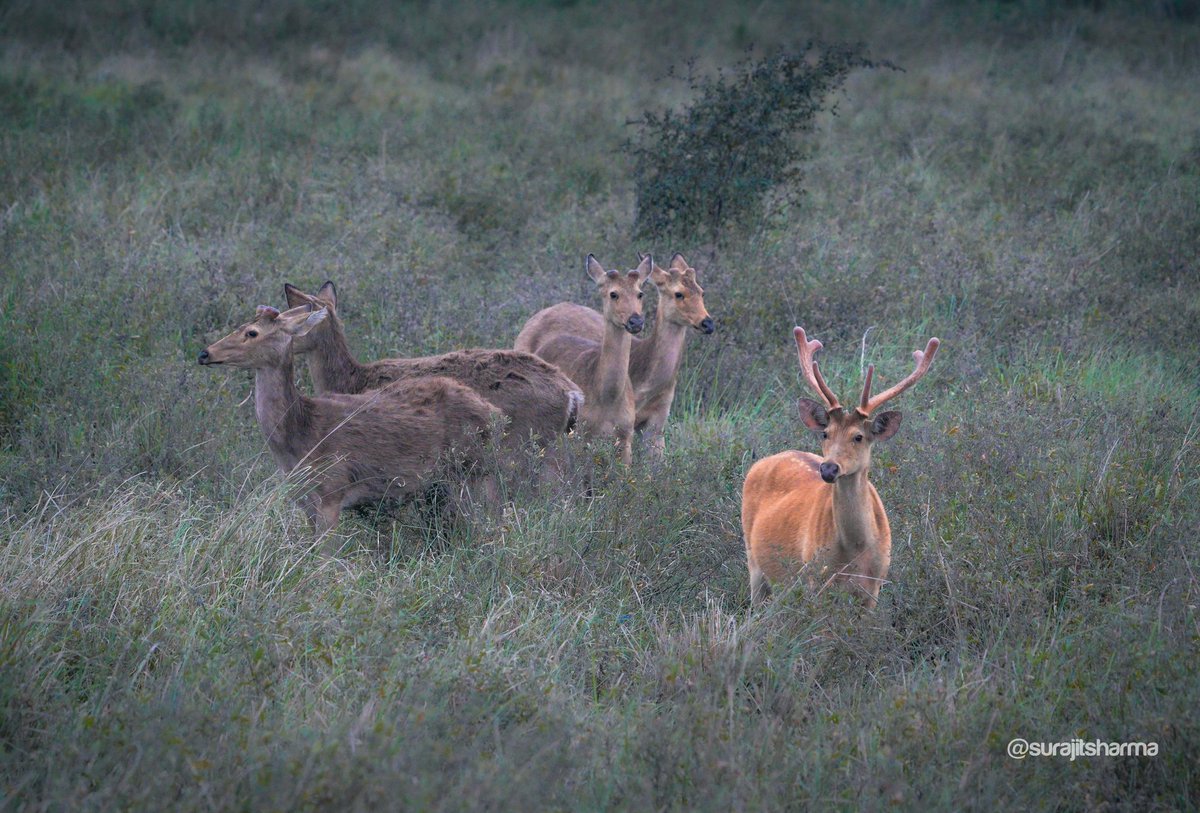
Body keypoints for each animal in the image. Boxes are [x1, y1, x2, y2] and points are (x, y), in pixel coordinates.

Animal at [199, 305, 500, 542]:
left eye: (252, 332)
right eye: (239, 325)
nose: (204, 353)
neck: (301, 436)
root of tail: (492, 411)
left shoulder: (332, 489)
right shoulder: (303, 499)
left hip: (474, 468)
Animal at [513, 255, 652, 465]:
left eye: (640, 293)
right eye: (613, 293)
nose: (636, 321)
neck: (607, 397)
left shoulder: (626, 436)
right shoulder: (581, 435)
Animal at [741, 327, 940, 608]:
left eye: (859, 437)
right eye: (825, 433)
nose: (828, 469)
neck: (855, 553)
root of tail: (763, 462)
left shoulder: (874, 587)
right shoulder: (816, 579)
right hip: (754, 560)